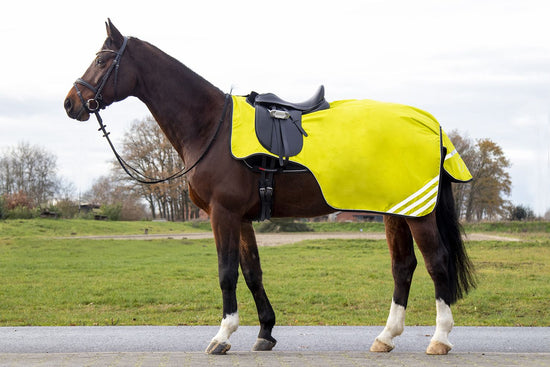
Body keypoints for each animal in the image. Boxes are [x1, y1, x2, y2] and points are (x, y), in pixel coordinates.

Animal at [64, 20, 476, 356]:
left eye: (102, 60)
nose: (70, 103)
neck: (211, 126)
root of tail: (430, 125)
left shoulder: (223, 214)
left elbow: (227, 272)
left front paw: (223, 336)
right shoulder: (242, 218)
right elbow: (251, 272)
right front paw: (265, 332)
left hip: (418, 215)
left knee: (437, 263)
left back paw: (440, 339)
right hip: (396, 211)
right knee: (403, 266)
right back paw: (386, 337)